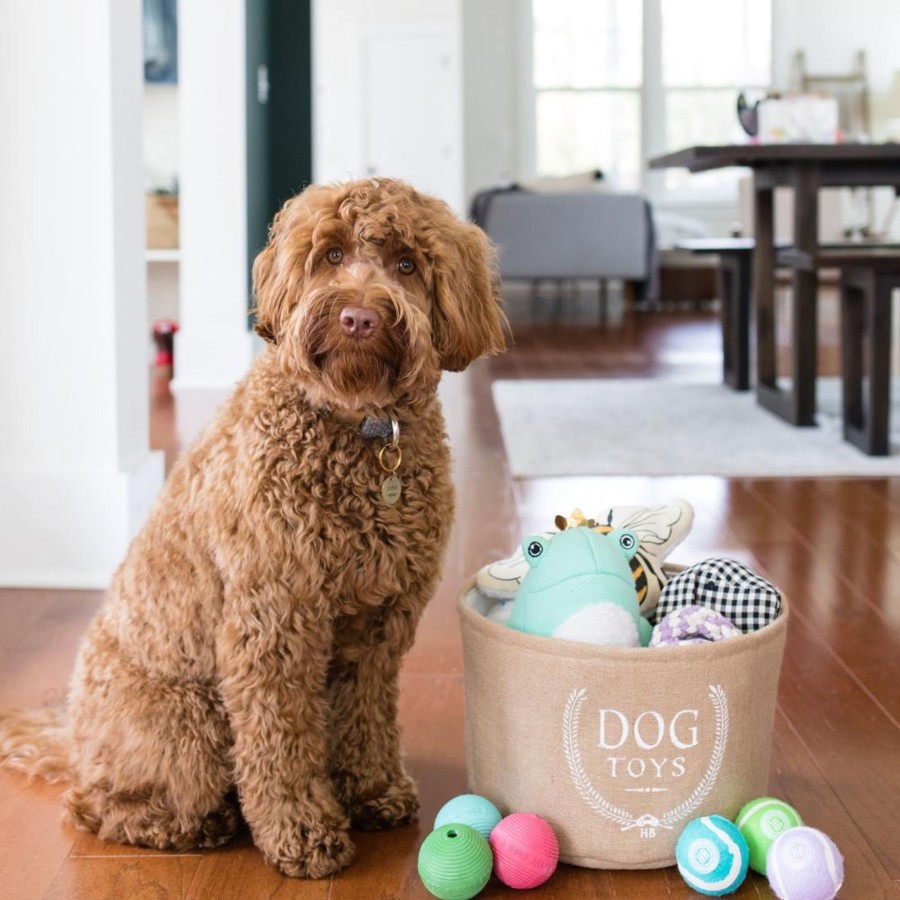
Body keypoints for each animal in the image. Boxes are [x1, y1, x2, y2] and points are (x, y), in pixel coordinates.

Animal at [0, 178, 506, 880]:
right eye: (330, 255)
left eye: (407, 264)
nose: (359, 317)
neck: (360, 426)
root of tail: (72, 733)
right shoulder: (274, 620)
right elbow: (279, 739)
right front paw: (303, 831)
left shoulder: (379, 623)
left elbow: (367, 713)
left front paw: (371, 790)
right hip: (186, 722)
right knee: (95, 804)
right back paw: (191, 823)